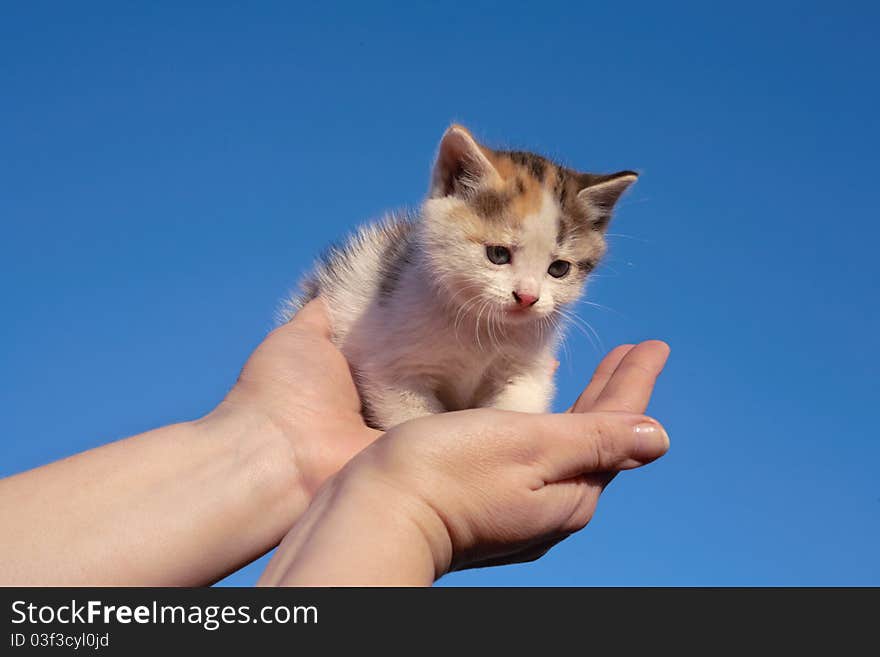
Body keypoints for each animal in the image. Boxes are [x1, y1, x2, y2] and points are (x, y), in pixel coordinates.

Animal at [286, 125, 636, 428]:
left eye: (559, 269)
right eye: (498, 254)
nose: (527, 297)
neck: (482, 325)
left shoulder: (526, 369)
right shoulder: (391, 370)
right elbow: (411, 418)